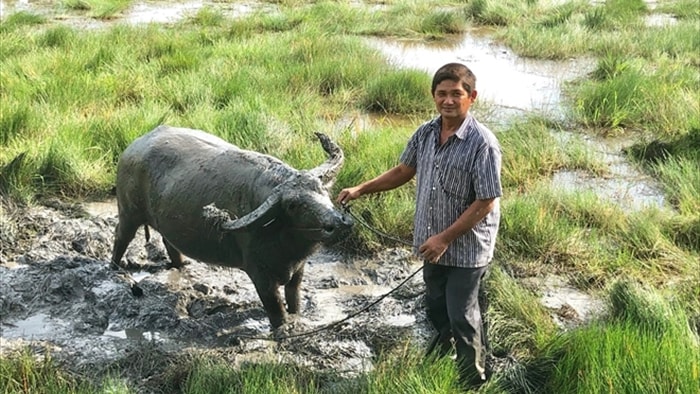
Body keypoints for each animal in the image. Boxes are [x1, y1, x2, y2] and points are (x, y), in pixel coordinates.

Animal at [111, 126, 352, 330]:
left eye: (322, 189)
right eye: (292, 205)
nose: (339, 222)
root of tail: (131, 149)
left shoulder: (298, 270)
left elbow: (294, 300)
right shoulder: (260, 275)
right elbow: (276, 310)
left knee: (169, 242)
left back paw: (180, 265)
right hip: (129, 213)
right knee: (121, 237)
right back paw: (114, 268)